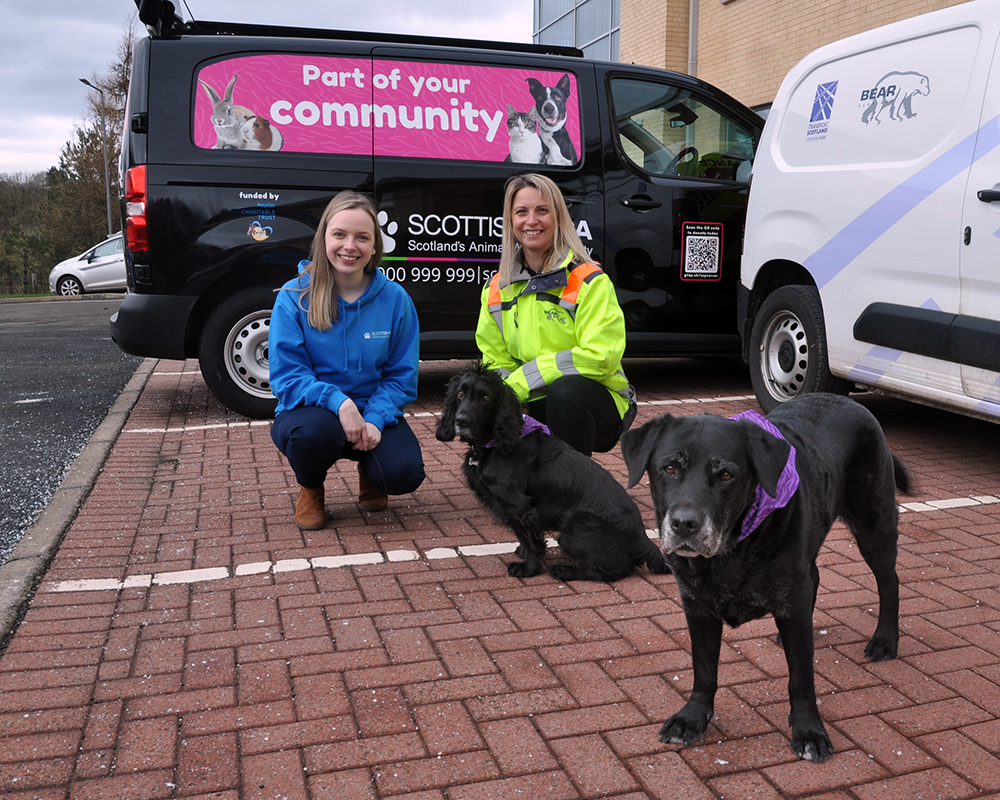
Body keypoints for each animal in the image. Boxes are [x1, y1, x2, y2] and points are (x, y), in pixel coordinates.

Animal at [436, 362, 664, 580]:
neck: (497, 443)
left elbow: (529, 540)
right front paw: (524, 555)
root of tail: (643, 540)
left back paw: (565, 571)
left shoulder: (519, 507)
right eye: (460, 394)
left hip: (574, 529)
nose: (461, 420)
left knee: (615, 571)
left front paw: (528, 568)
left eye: (486, 398)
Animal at [620, 396, 912, 764]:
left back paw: (885, 639)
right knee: (815, 575)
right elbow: (704, 669)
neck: (731, 550)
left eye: (726, 474)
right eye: (670, 468)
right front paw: (693, 717)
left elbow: (801, 677)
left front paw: (809, 730)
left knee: (889, 583)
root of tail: (848, 401)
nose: (684, 524)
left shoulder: (792, 597)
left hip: (874, 526)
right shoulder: (697, 606)